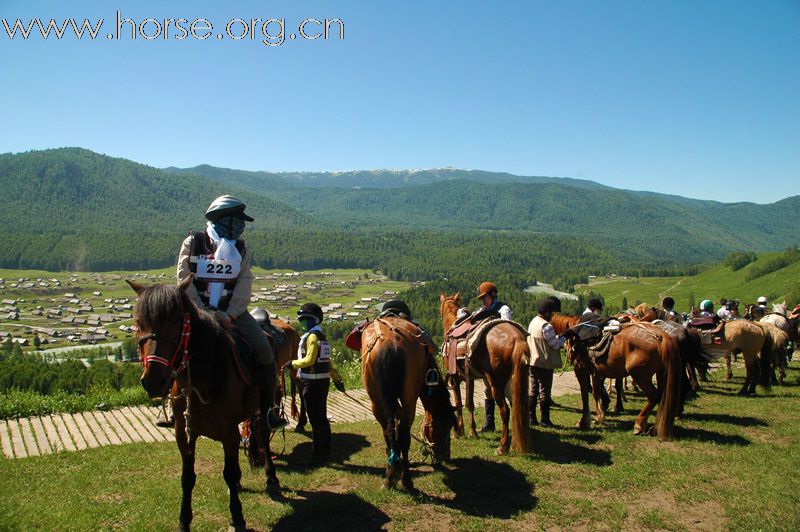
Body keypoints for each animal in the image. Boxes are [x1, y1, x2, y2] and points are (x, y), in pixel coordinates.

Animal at [130, 278, 280, 532]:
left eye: (175, 321)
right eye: (139, 322)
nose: (153, 380)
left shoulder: (228, 433)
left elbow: (229, 472)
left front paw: (237, 517)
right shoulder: (184, 434)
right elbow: (187, 477)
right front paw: (184, 520)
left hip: (263, 405)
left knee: (262, 433)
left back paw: (272, 479)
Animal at [362, 316, 456, 490]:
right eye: (445, 426)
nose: (446, 456)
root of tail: (390, 343)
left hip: (376, 401)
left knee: (389, 432)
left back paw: (390, 476)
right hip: (408, 398)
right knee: (404, 435)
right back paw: (405, 479)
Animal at [438, 294, 532, 456]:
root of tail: (516, 339)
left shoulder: (455, 379)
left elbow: (459, 403)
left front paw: (459, 431)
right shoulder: (470, 377)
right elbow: (470, 403)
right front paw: (473, 431)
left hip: (496, 382)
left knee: (505, 410)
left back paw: (502, 447)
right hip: (514, 379)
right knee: (516, 406)